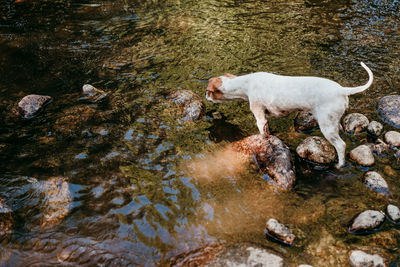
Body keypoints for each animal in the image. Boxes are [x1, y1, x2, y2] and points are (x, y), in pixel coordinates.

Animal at [208, 62, 374, 169]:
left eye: (208, 92)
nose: (205, 97)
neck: (245, 84)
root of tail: (342, 90)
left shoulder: (260, 118)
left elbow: (262, 134)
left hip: (327, 127)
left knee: (341, 145)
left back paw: (339, 165)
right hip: (333, 122)